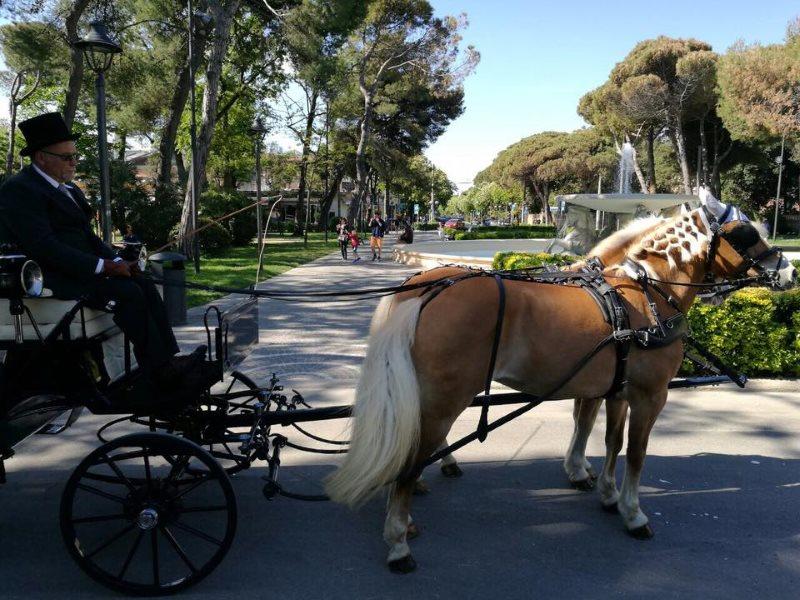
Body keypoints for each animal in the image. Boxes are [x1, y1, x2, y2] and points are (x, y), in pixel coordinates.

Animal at [326, 207, 792, 572]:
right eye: (746, 233)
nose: (787, 269)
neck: (643, 296)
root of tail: (428, 289)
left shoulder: (615, 389)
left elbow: (608, 439)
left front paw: (603, 490)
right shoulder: (649, 395)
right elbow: (635, 453)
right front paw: (632, 512)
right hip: (443, 400)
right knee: (409, 457)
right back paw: (398, 538)